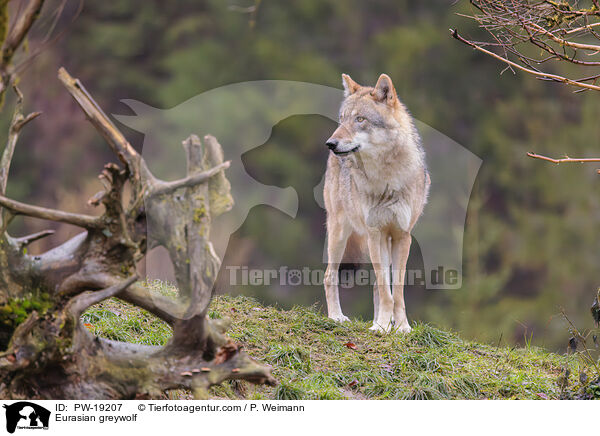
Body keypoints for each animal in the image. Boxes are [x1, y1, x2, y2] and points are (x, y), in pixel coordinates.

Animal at [324, 73, 432, 332]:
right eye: (342, 119)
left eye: (360, 119)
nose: (330, 143)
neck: (386, 178)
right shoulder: (375, 233)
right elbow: (386, 290)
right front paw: (382, 327)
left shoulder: (402, 235)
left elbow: (397, 290)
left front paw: (401, 327)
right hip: (340, 234)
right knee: (329, 276)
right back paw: (336, 317)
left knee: (377, 285)